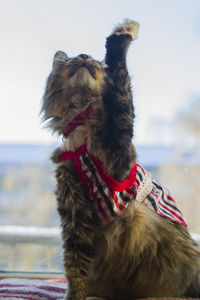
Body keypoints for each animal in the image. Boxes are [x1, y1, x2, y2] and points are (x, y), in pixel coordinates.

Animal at [41, 19, 200, 298]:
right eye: (71, 59)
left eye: (95, 61)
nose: (84, 57)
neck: (83, 132)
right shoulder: (74, 211)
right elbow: (75, 265)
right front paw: (75, 295)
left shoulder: (119, 161)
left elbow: (120, 91)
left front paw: (123, 33)